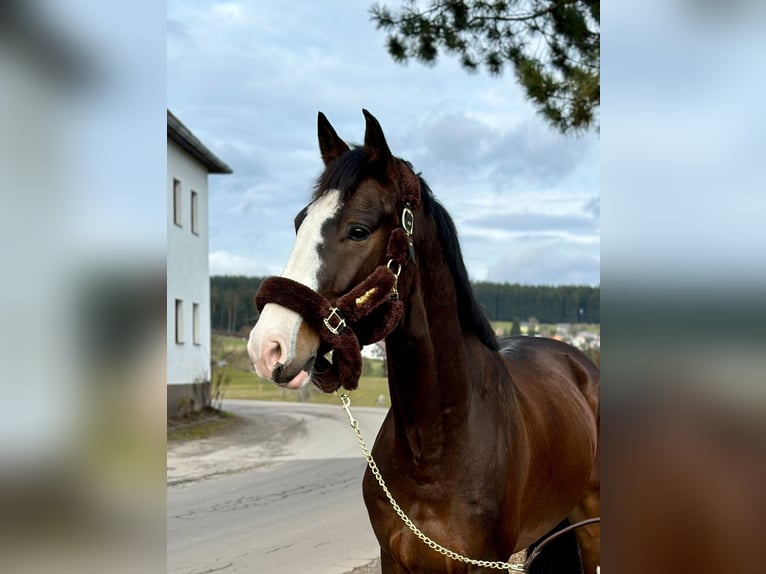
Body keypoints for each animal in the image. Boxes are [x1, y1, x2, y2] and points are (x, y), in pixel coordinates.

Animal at [249, 110, 604, 572]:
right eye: (298, 222)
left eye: (358, 230)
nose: (267, 345)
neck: (435, 446)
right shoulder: (394, 558)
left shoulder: (482, 563)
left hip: (592, 526)